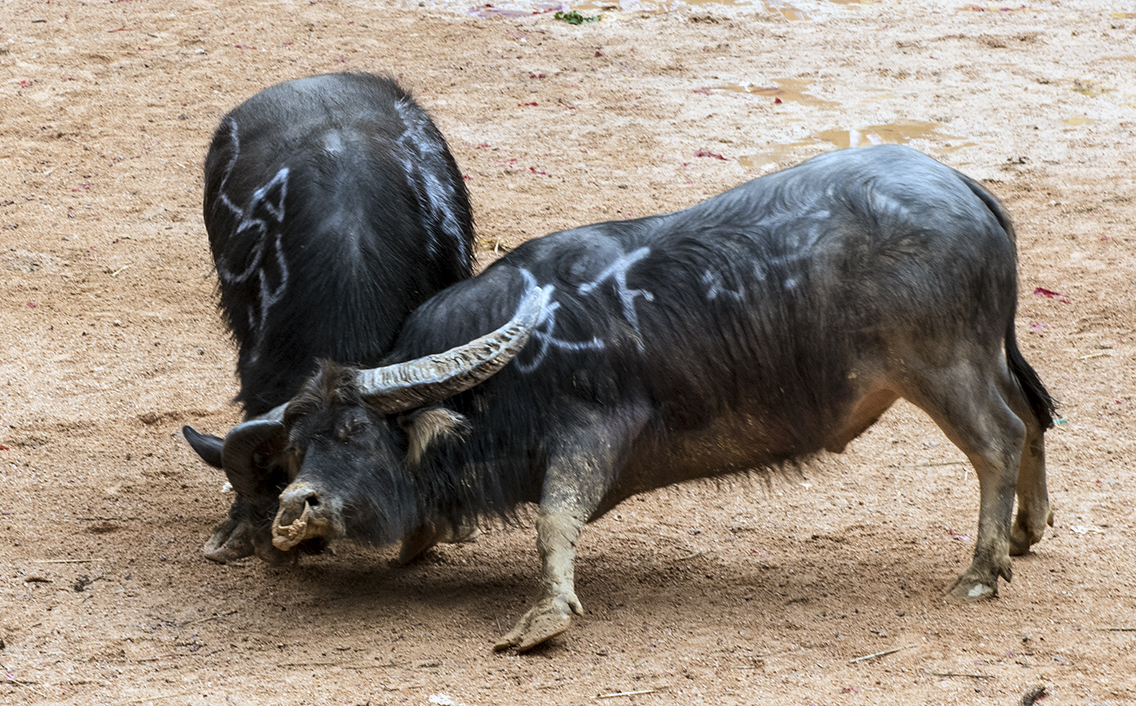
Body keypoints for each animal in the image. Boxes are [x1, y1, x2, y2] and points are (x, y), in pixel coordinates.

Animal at [214, 143, 1054, 650]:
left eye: (356, 433)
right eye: (299, 445)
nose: (295, 508)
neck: (519, 359)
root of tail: (964, 189)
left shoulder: (590, 438)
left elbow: (554, 522)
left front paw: (543, 619)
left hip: (943, 369)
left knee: (999, 439)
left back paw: (981, 570)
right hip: (980, 358)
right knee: (1033, 417)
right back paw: (1024, 532)